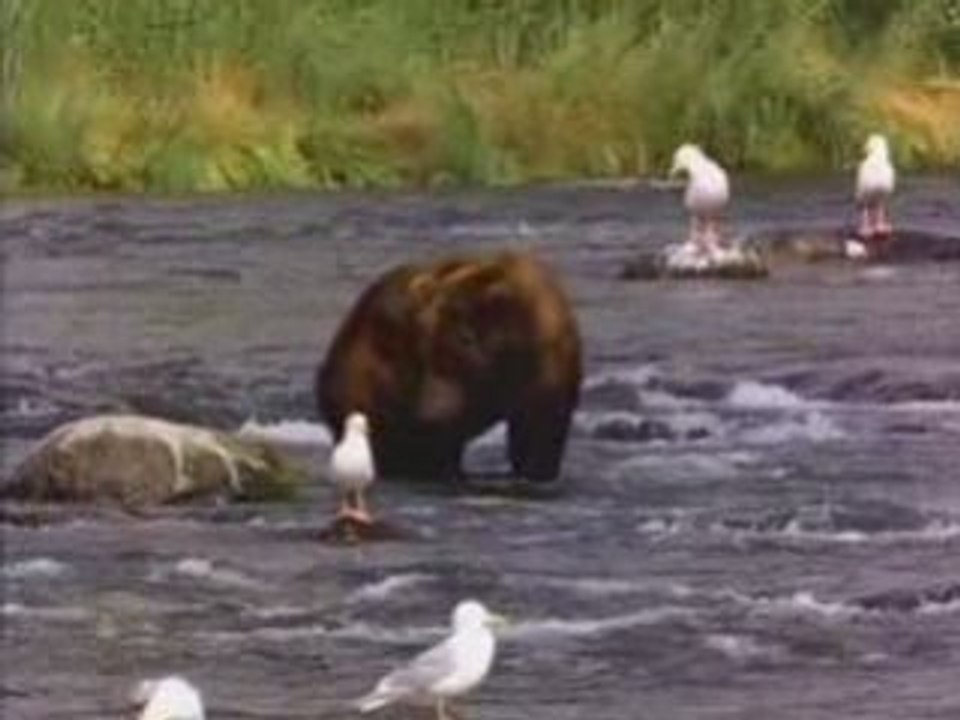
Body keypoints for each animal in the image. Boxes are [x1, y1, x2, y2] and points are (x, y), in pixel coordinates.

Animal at [315, 251, 582, 487]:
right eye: (423, 349)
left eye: (466, 339)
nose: (429, 415)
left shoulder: (546, 369)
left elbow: (540, 432)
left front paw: (535, 472)